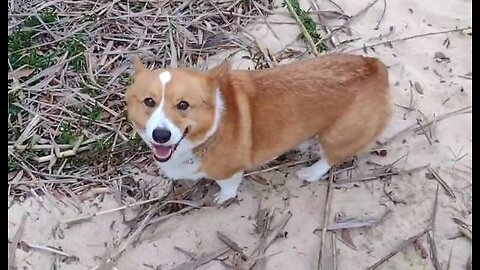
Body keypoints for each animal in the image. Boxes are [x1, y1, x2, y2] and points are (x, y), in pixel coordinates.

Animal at [125, 54, 392, 202]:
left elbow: (228, 188)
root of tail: (375, 66)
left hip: (339, 136)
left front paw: (222, 197)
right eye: (149, 101)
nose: (161, 136)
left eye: (183, 105)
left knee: (330, 158)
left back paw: (310, 172)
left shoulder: (229, 172)